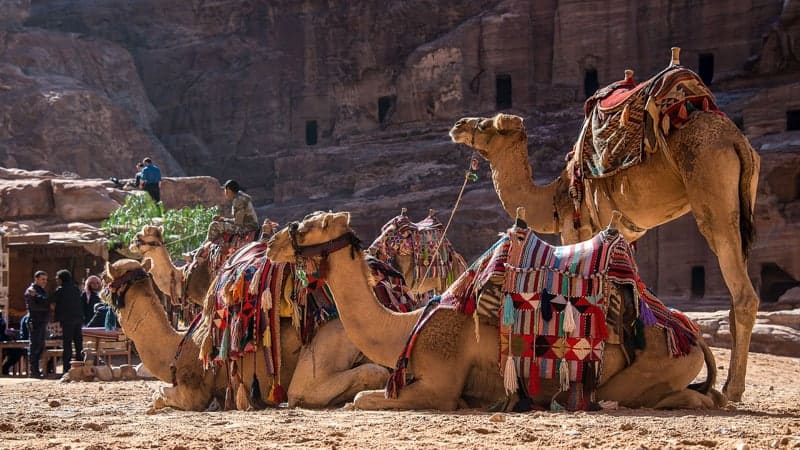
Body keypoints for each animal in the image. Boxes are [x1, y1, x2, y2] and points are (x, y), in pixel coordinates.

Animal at [103, 255, 390, 410]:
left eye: (105, 279)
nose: (98, 289)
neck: (176, 346)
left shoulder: (193, 391)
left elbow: (159, 394)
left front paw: (154, 405)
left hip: (329, 341)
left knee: (305, 390)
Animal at [268, 211, 724, 412]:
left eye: (308, 225)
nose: (273, 242)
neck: (406, 327)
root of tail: (692, 335)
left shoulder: (442, 383)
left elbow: (363, 399)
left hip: (655, 362)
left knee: (647, 395)